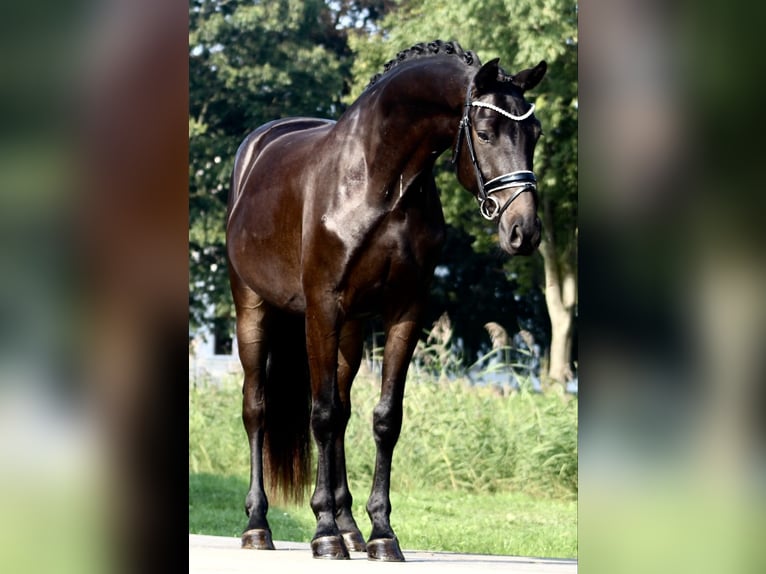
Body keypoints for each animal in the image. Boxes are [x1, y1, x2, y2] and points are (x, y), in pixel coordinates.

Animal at [225, 40, 548, 564]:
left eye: (534, 134)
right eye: (484, 132)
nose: (524, 231)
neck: (378, 182)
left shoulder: (405, 313)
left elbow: (383, 419)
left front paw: (380, 533)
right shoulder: (323, 309)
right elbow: (321, 415)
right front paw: (323, 533)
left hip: (353, 331)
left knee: (343, 411)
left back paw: (350, 528)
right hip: (252, 308)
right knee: (258, 409)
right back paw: (259, 526)